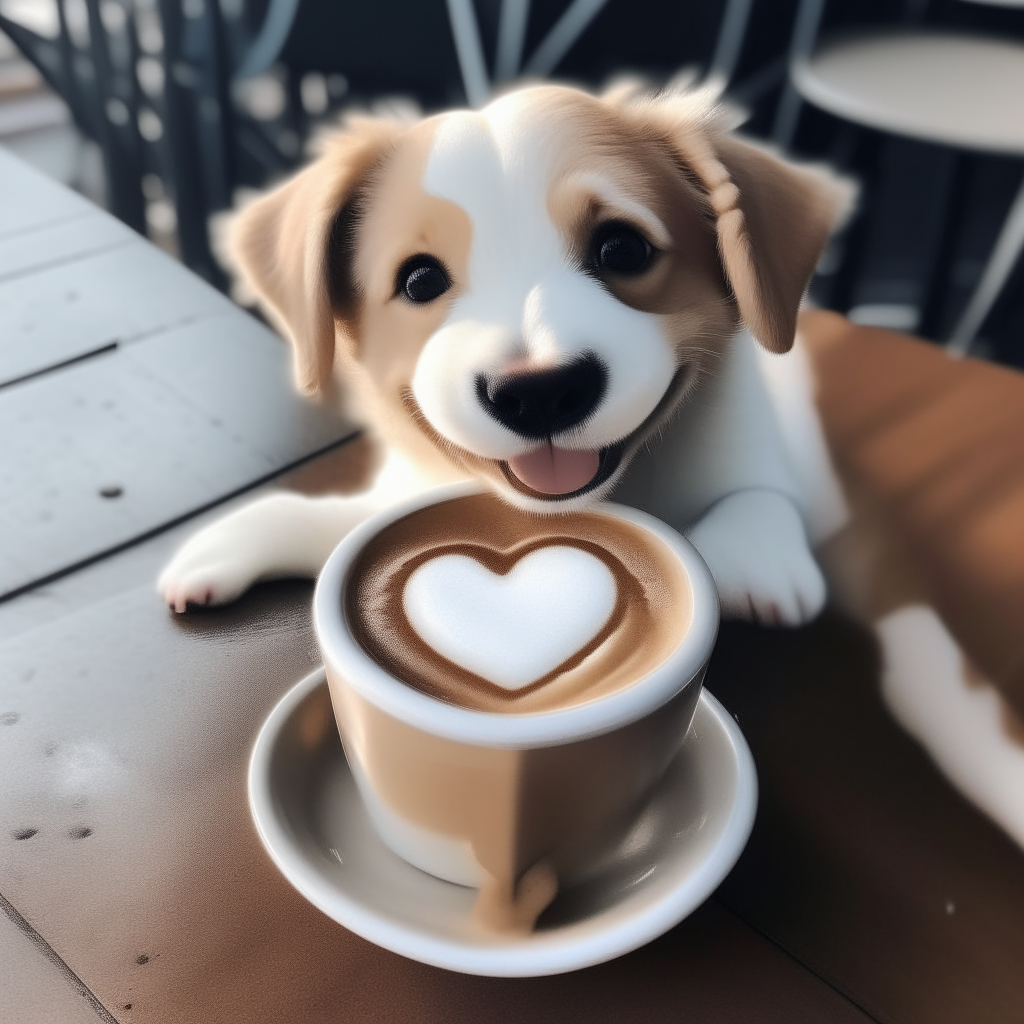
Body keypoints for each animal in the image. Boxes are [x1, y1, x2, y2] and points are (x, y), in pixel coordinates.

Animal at [155, 77, 851, 622]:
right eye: (420, 280)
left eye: (622, 248)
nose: (538, 393)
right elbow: (349, 520)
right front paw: (247, 533)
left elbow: (759, 492)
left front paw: (749, 554)